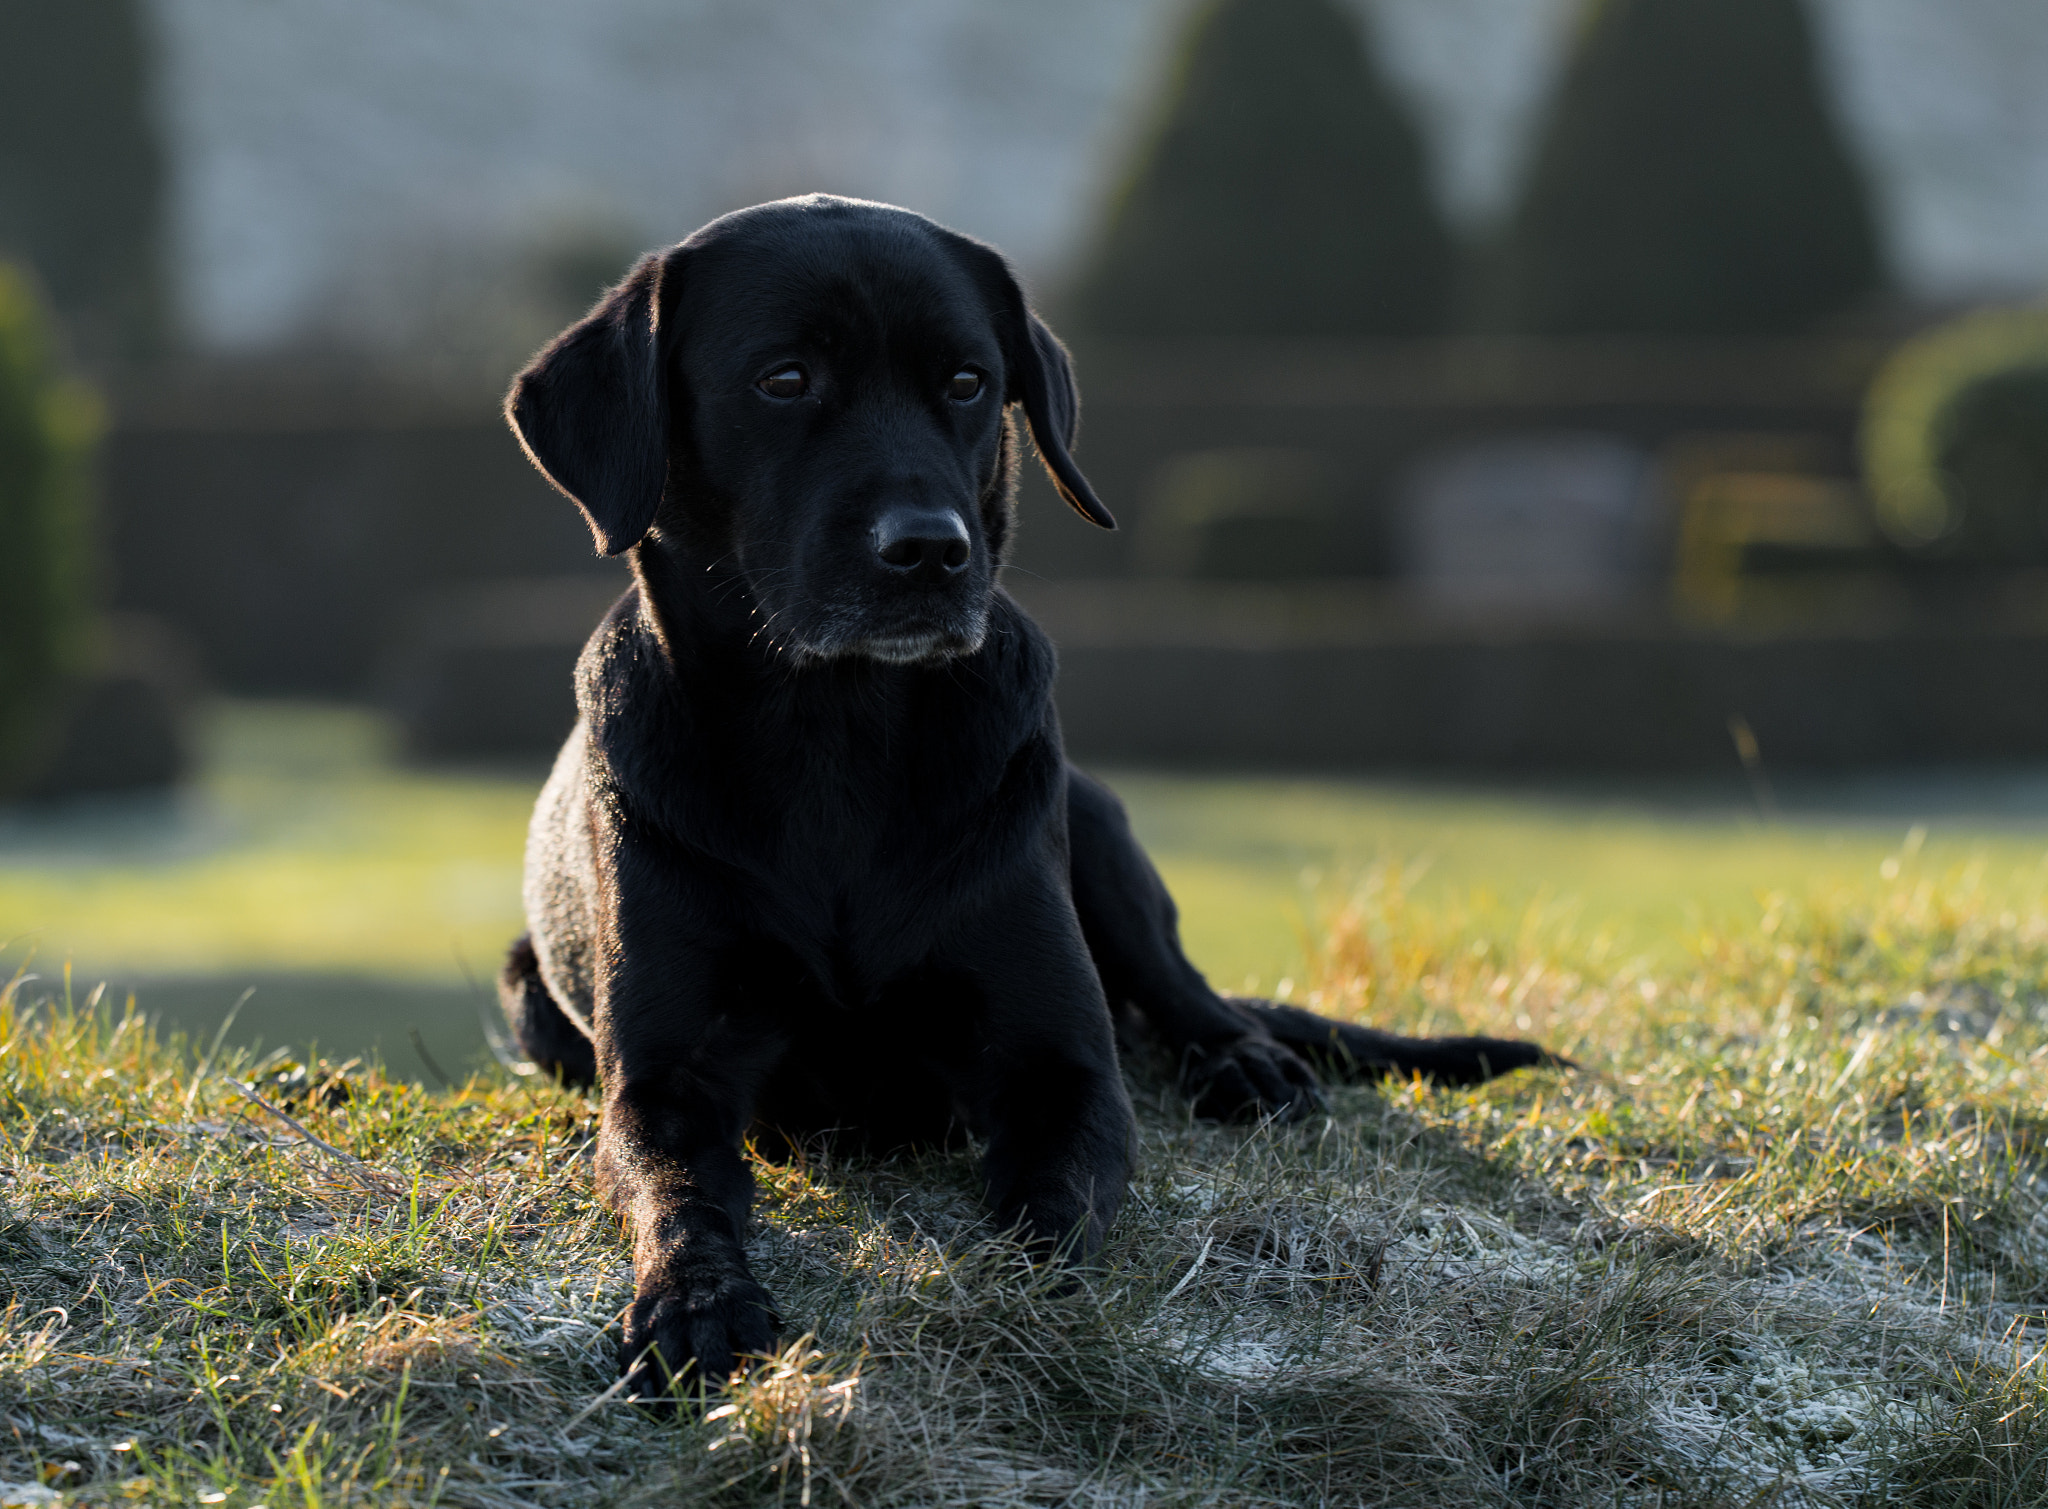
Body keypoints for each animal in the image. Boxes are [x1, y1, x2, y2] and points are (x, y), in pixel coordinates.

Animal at [495, 194, 1548, 1392]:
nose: (928, 551)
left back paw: (1246, 1063)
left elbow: (1049, 1202)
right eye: (784, 379)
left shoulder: (1062, 1063)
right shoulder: (667, 1080)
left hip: (1090, 820)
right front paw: (694, 1301)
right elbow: (671, 1194)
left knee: (1185, 994)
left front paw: (1009, 1296)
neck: (836, 733)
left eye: (965, 381)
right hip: (532, 996)